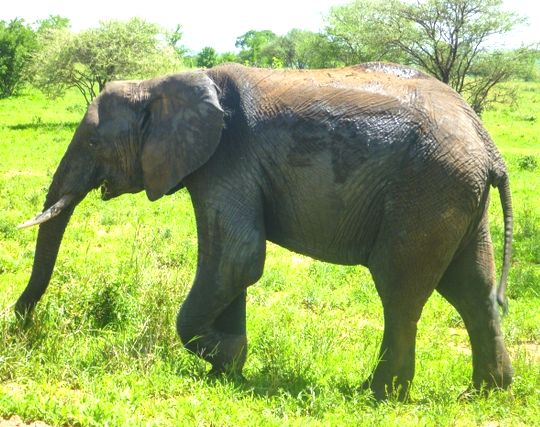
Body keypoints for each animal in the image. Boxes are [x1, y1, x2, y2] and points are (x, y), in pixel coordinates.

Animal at [14, 62, 512, 402]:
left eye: (93, 142)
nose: (21, 322)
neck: (160, 84)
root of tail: (489, 145)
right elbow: (231, 266)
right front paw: (226, 369)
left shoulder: (228, 158)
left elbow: (236, 259)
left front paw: (226, 356)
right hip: (456, 194)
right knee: (474, 288)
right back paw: (486, 393)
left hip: (426, 188)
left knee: (400, 290)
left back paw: (376, 394)